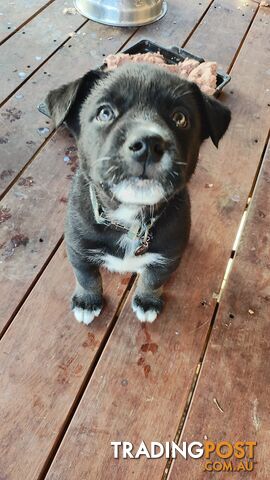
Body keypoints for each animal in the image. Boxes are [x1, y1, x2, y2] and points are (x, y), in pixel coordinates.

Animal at [44, 63, 230, 324]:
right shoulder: (77, 247)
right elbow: (86, 276)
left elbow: (153, 280)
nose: (149, 144)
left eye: (180, 118)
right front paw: (87, 301)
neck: (129, 219)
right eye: (104, 113)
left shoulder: (167, 256)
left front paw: (147, 301)